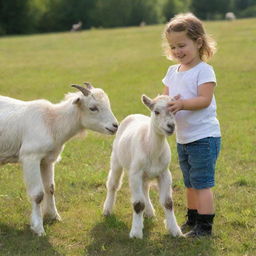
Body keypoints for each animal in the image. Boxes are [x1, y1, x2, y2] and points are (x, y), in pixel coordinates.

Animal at [0, 82, 118, 236]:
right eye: (93, 108)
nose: (115, 126)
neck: (53, 122)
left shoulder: (46, 160)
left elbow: (50, 188)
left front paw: (54, 216)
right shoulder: (30, 156)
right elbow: (38, 194)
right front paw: (38, 228)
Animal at [103, 95, 182, 239]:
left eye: (175, 111)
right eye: (156, 112)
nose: (171, 126)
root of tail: (135, 115)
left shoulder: (165, 173)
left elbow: (168, 202)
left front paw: (175, 230)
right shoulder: (135, 173)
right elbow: (138, 204)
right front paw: (136, 233)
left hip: (145, 173)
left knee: (145, 188)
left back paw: (149, 212)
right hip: (116, 158)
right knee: (113, 184)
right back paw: (107, 209)